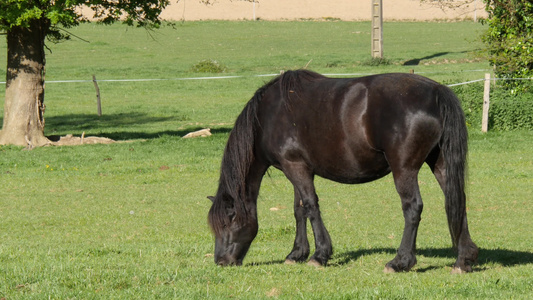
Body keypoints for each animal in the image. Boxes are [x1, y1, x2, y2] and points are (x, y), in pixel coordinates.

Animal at [207, 69, 478, 274]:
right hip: (440, 164)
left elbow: (311, 206)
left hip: (404, 169)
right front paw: (296, 253)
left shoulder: (295, 167)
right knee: (457, 200)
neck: (267, 116)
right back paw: (463, 260)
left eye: (229, 220)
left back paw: (400, 261)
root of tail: (436, 92)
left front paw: (320, 255)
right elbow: (299, 210)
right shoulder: (296, 168)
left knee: (413, 208)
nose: (221, 261)